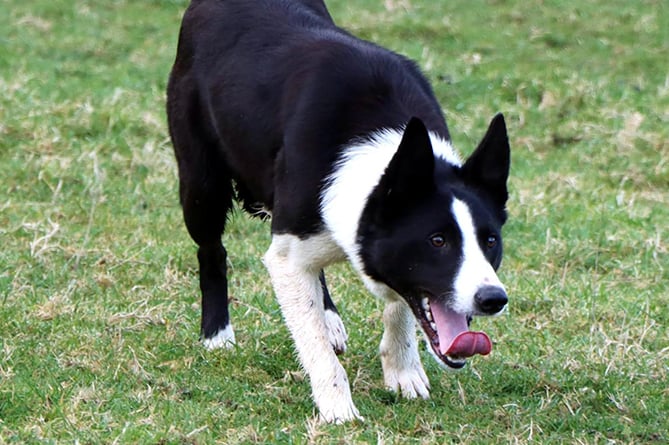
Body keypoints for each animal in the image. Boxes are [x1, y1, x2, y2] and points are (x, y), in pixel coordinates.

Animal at [166, 0, 506, 422]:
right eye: (438, 241)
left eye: (490, 241)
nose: (493, 298)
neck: (380, 142)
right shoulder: (288, 251)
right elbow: (314, 341)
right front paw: (338, 409)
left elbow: (400, 301)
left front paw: (403, 371)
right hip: (202, 184)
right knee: (212, 251)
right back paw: (217, 334)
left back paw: (328, 318)